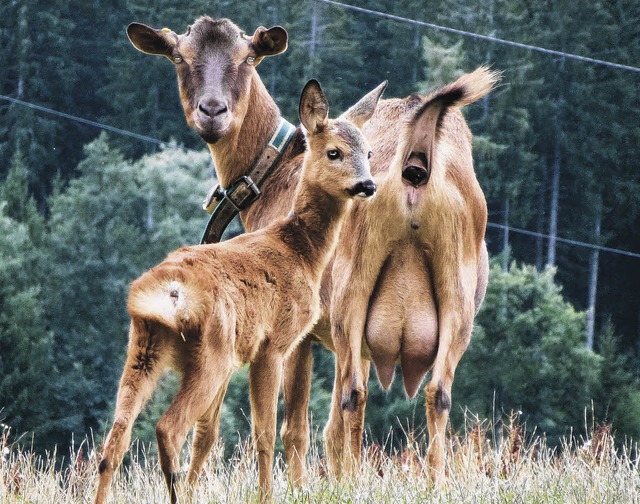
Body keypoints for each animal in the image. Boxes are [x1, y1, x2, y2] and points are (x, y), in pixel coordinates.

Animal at [93, 79, 384, 504]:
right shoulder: (273, 343)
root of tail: (166, 293)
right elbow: (264, 433)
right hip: (212, 353)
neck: (301, 250)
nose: (367, 185)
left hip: (144, 349)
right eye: (334, 152)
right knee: (168, 428)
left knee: (114, 441)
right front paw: (266, 495)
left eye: (369, 151)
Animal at [124, 16, 496, 488]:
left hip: (350, 295)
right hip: (457, 301)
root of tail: (417, 168)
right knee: (436, 393)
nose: (212, 112)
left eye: (248, 57)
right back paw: (431, 484)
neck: (277, 177)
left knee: (353, 395)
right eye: (179, 57)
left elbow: (295, 426)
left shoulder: (299, 332)